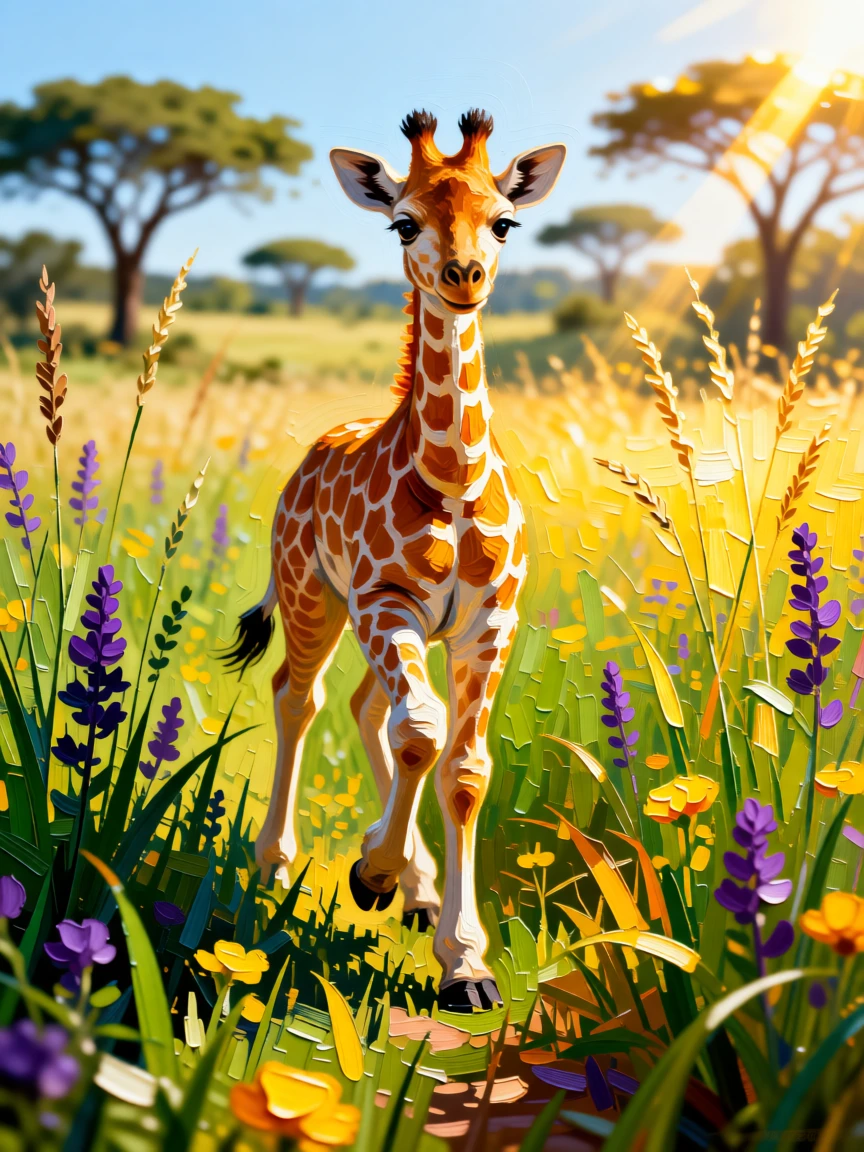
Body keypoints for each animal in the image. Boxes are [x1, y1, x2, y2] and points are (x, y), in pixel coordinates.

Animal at [224, 109, 565, 1011]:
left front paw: (465, 961)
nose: (463, 274)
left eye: (504, 221)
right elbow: (422, 734)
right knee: (299, 696)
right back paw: (276, 867)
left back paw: (412, 887)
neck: (453, 476)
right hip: (314, 599)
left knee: (363, 709)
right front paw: (372, 873)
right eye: (403, 222)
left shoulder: (488, 623)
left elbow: (464, 767)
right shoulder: (388, 602)